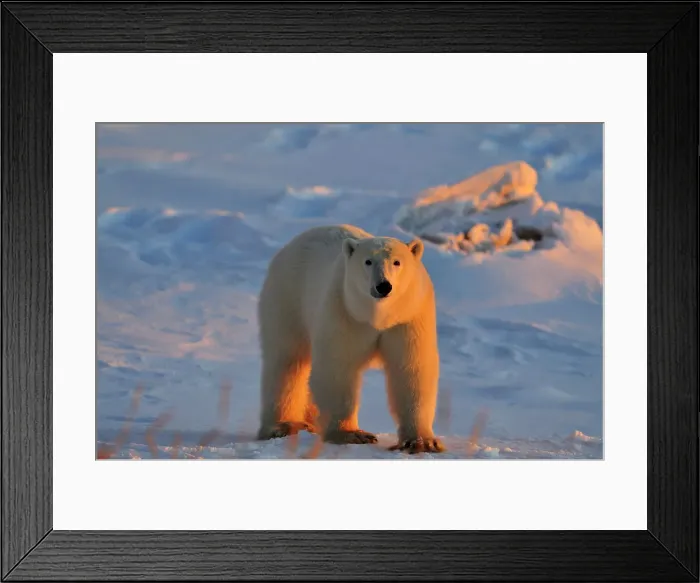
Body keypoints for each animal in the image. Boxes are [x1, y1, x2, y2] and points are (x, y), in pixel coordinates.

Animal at [255, 224, 444, 454]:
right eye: (368, 261)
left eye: (397, 262)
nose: (383, 286)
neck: (377, 316)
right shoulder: (344, 310)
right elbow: (337, 366)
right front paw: (351, 434)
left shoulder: (409, 315)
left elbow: (411, 369)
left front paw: (422, 442)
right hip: (288, 298)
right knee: (288, 361)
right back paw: (284, 425)